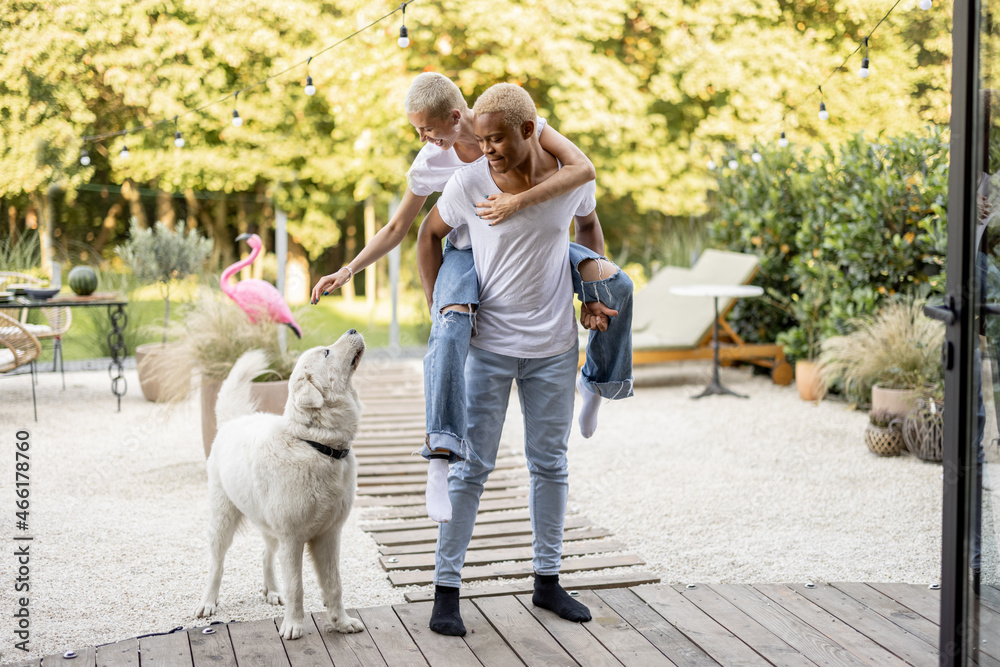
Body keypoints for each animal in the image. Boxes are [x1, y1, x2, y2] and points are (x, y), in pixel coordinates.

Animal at [193, 332, 366, 640]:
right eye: (326, 352)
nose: (353, 330)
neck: (316, 444)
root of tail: (234, 421)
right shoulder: (293, 538)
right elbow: (296, 587)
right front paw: (294, 625)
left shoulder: (329, 535)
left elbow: (334, 585)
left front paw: (341, 623)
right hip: (223, 521)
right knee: (216, 565)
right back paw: (208, 602)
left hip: (270, 528)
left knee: (265, 555)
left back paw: (272, 591)